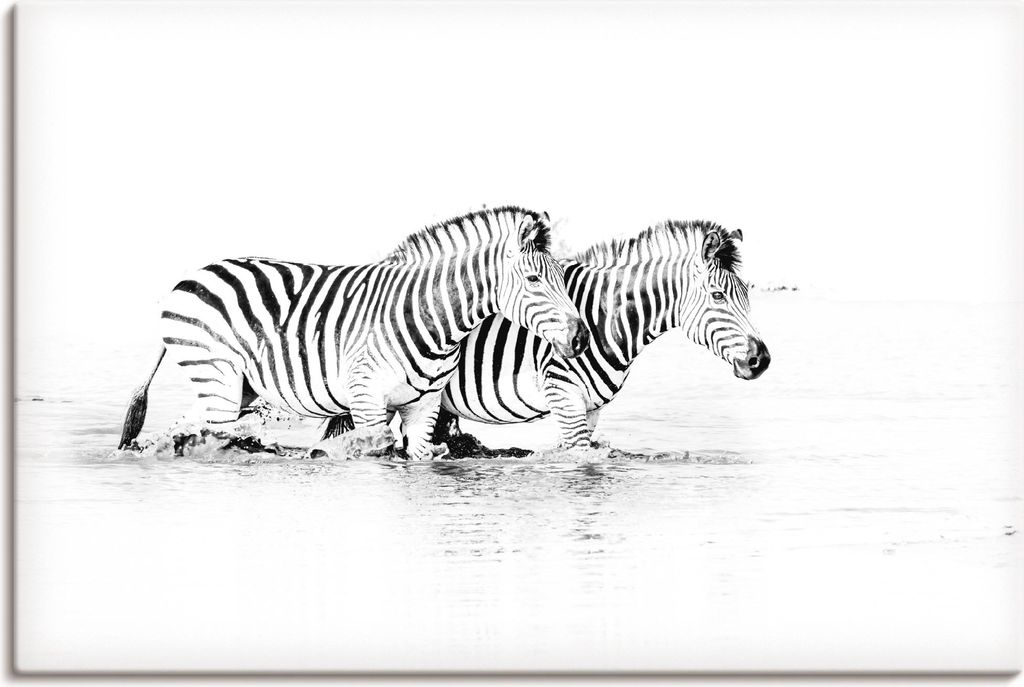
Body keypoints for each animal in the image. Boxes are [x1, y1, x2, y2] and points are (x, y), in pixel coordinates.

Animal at [117, 206, 590, 460]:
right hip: (217, 377)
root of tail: (192, 274)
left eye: (562, 276)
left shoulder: (423, 408)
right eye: (533, 280)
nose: (581, 339)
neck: (431, 320)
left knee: (181, 430)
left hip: (234, 388)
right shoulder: (366, 402)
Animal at [430, 219, 771, 448]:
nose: (762, 360)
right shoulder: (562, 392)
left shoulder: (592, 408)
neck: (604, 320)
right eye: (718, 296)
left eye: (747, 295)